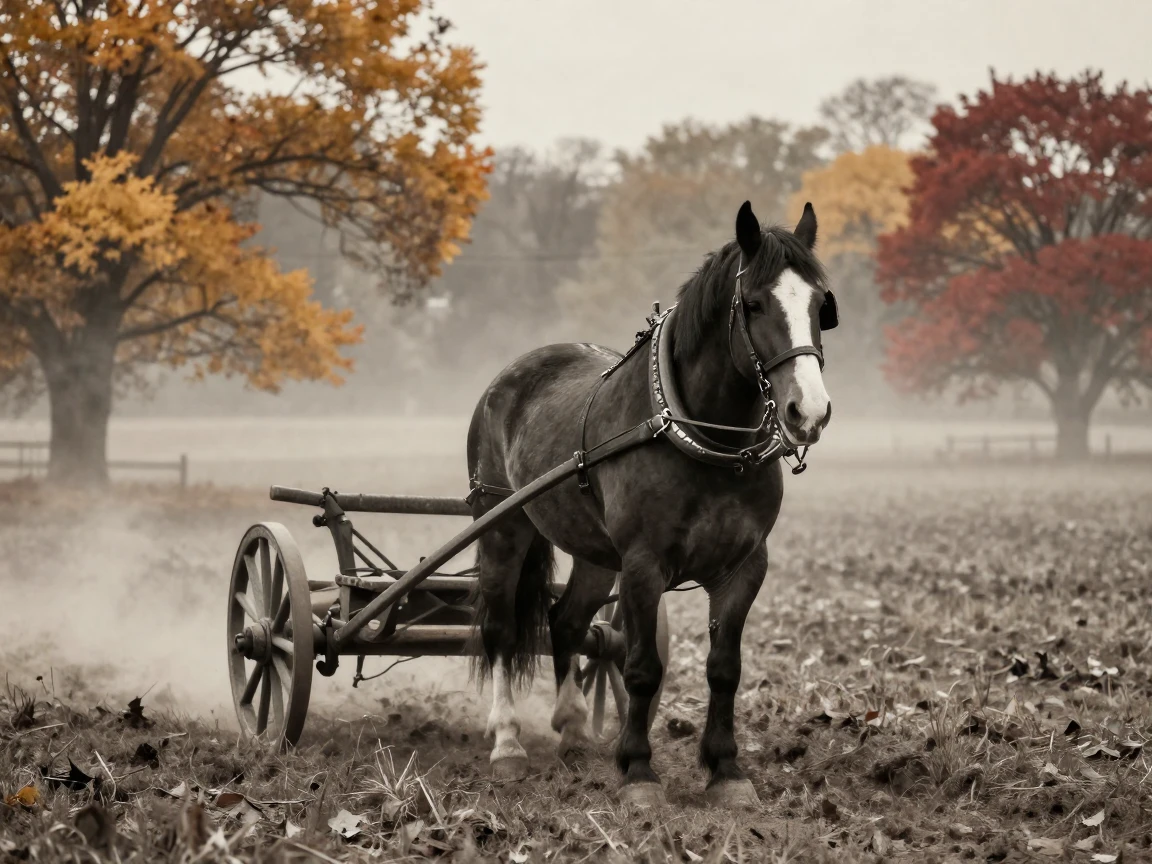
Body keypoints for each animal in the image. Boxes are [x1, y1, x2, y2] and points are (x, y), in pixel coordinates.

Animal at [466, 200, 836, 808]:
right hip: (503, 524)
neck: (708, 440)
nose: (809, 412)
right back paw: (507, 745)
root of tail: (509, 376)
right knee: (501, 630)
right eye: (754, 303)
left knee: (566, 623)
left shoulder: (745, 566)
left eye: (819, 304)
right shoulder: (643, 564)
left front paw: (726, 769)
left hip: (594, 552)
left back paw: (573, 728)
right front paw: (639, 770)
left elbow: (724, 668)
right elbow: (641, 667)